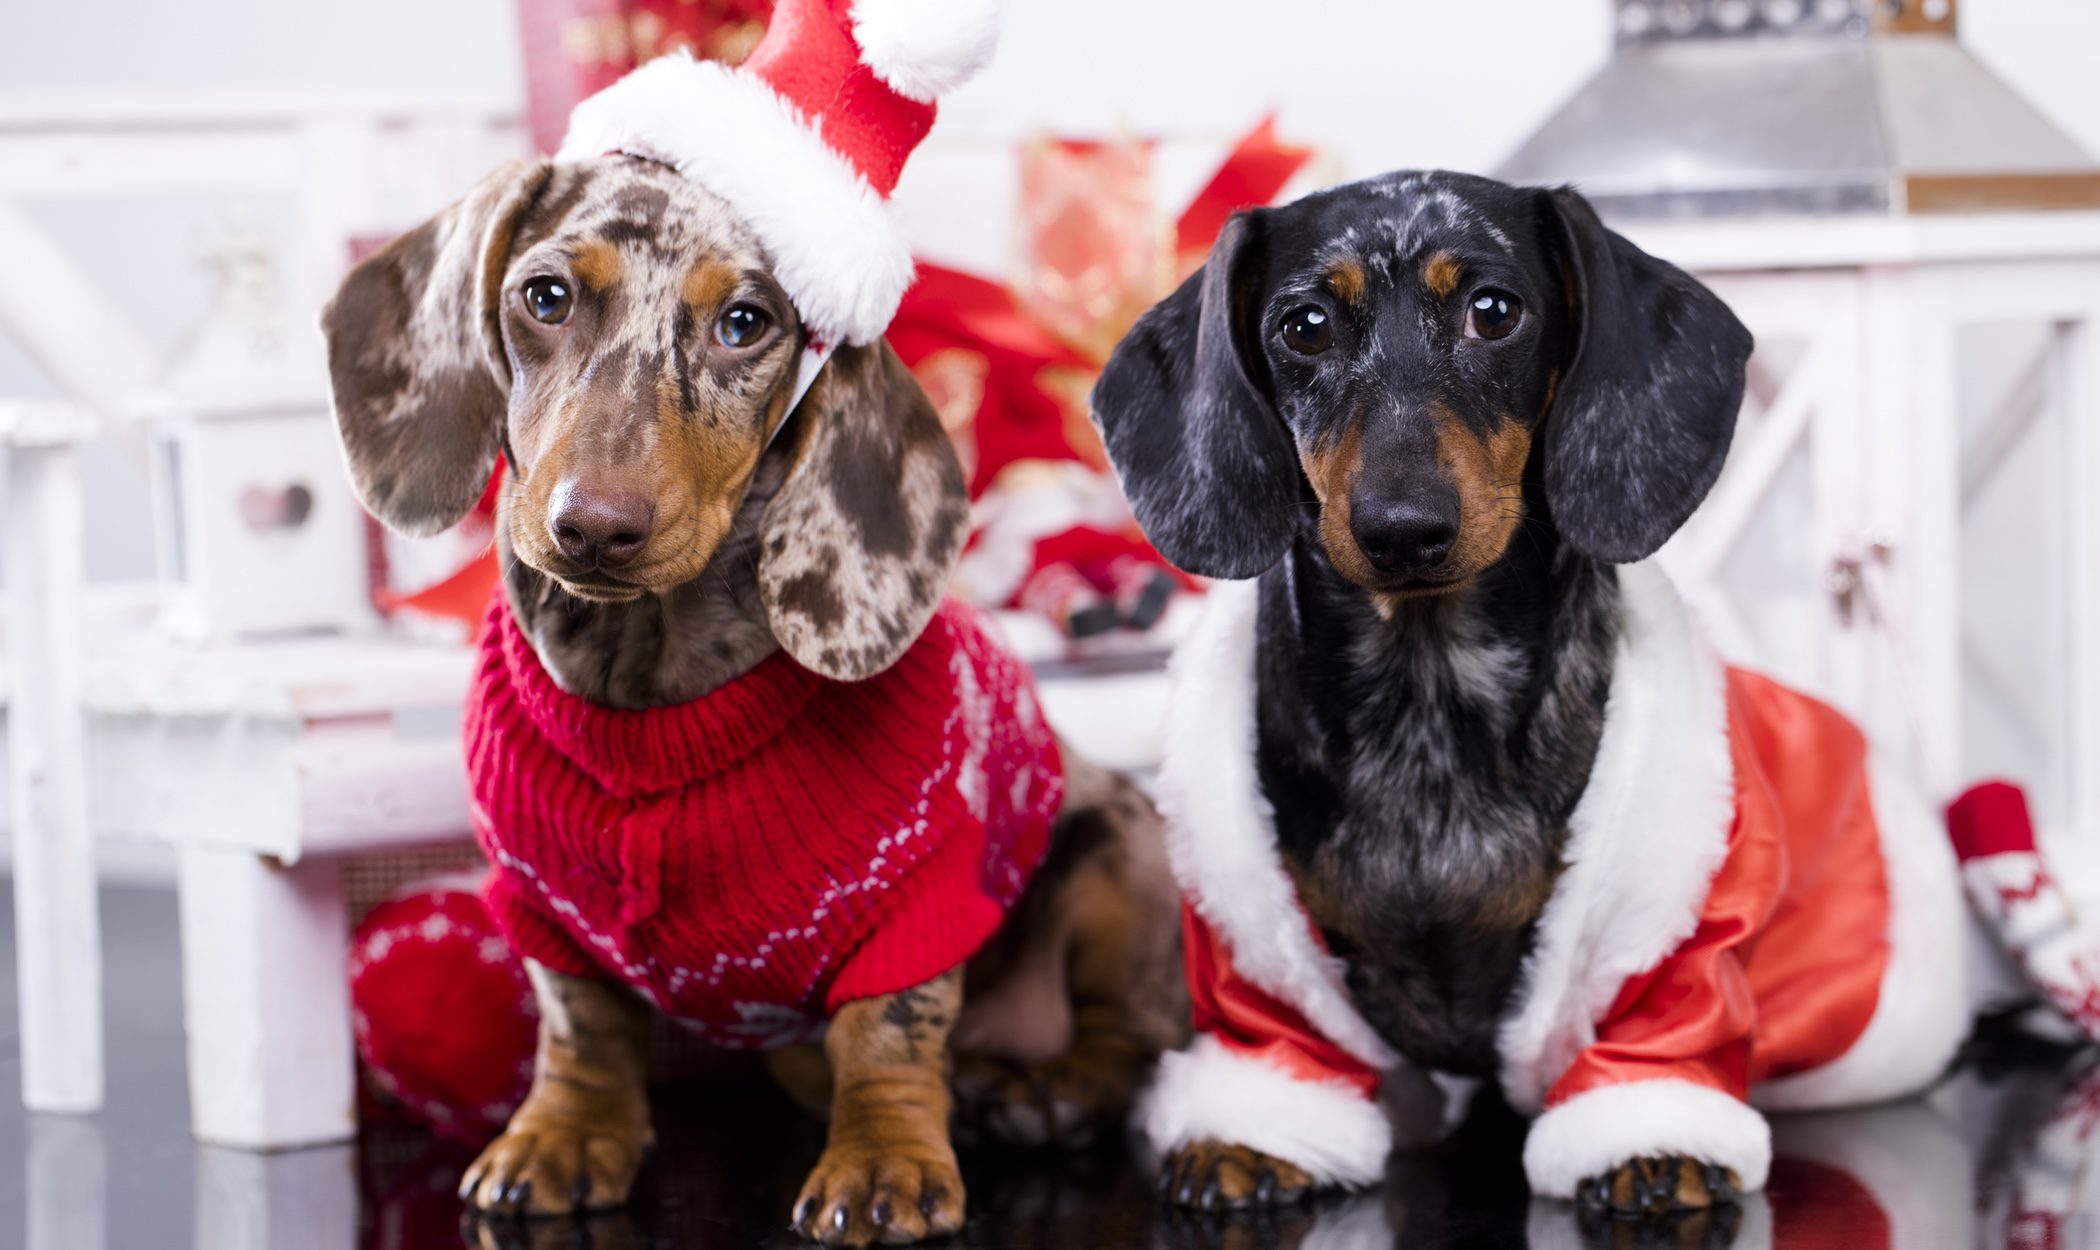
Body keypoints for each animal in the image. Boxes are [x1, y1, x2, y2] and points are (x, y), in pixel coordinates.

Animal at [1092, 169, 2074, 1226]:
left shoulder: (1680, 936)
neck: (1428, 711)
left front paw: (1653, 1145)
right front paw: (1246, 1138)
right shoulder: (1255, 949)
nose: (1402, 528)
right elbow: (1278, 1048)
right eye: (1304, 326)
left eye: (1495, 311)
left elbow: (1657, 1043)